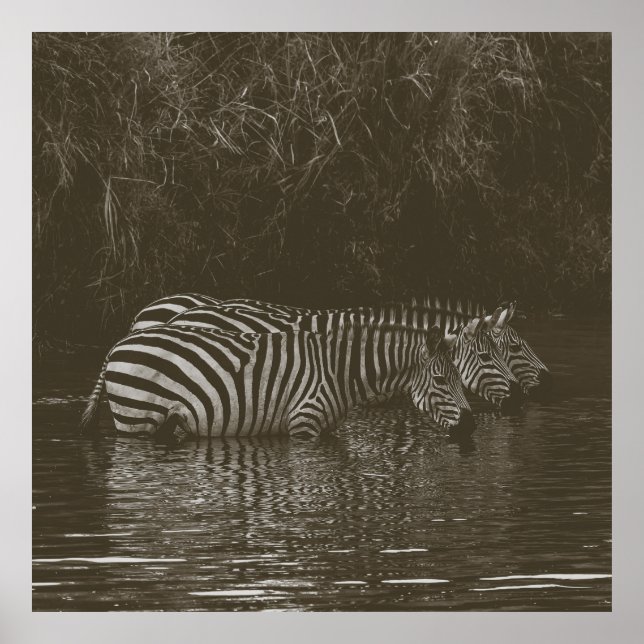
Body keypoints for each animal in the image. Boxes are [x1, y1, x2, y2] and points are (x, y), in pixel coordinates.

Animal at [80, 321, 474, 439]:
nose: (470, 425)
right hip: (137, 418)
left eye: (459, 378)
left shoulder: (325, 430)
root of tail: (118, 344)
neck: (339, 372)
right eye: (441, 380)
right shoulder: (304, 425)